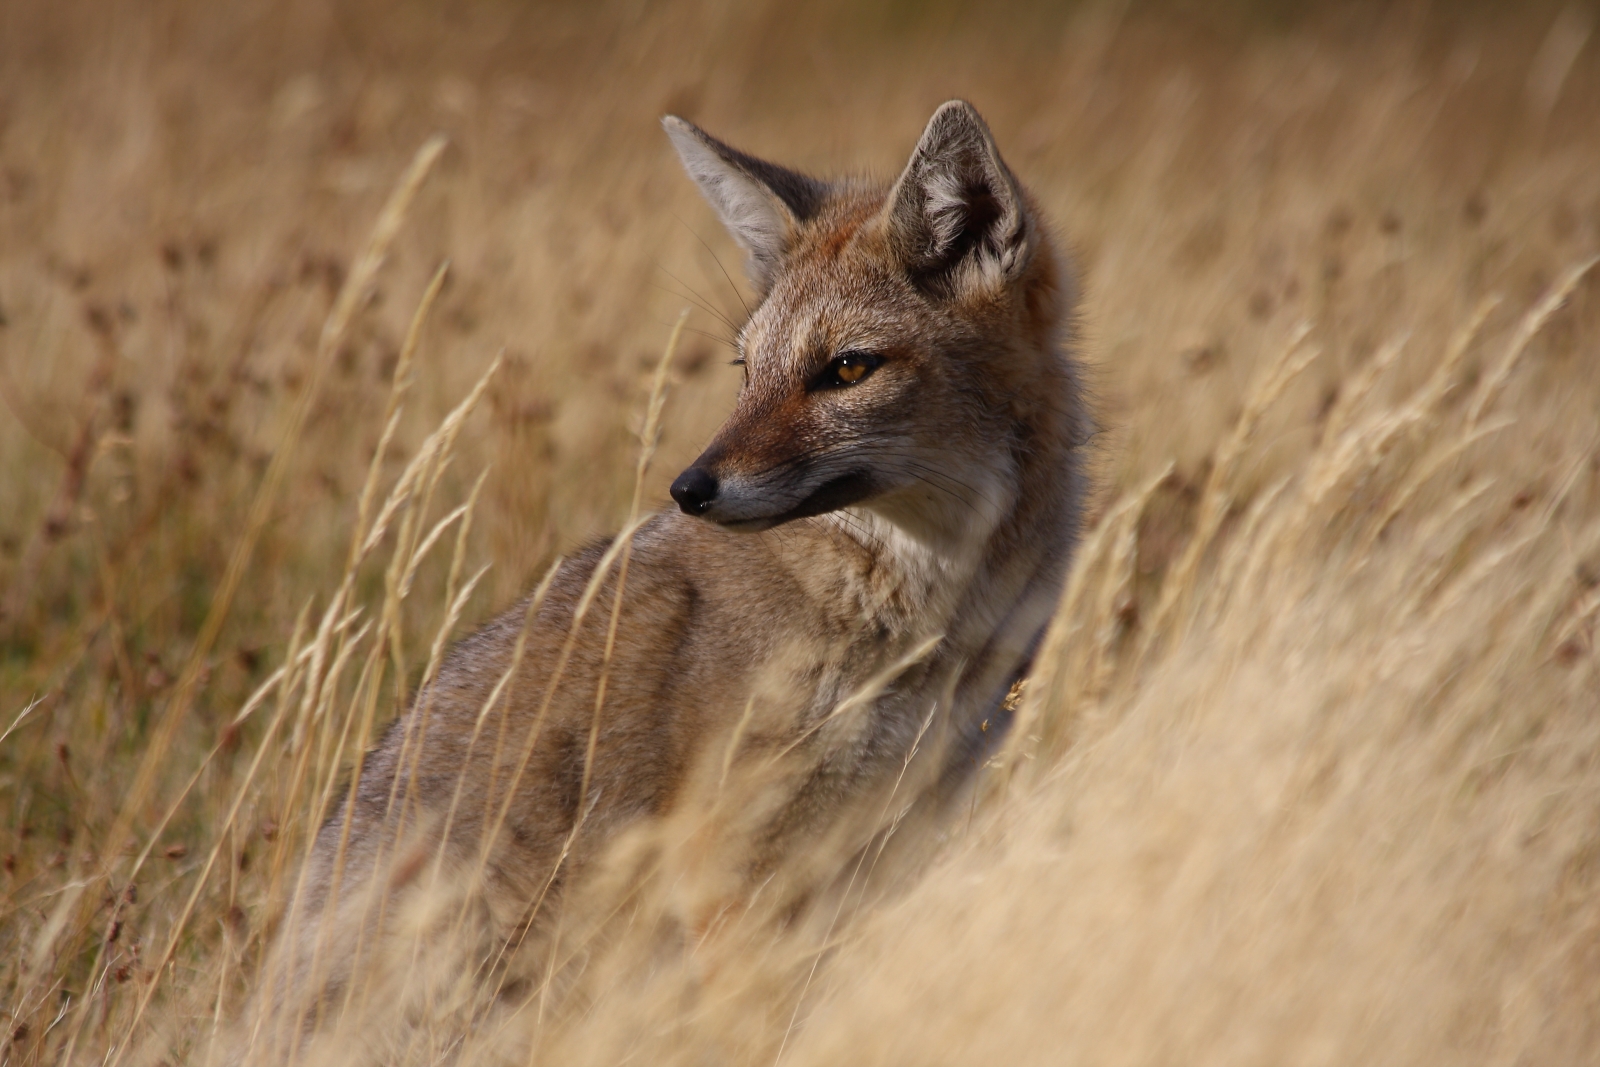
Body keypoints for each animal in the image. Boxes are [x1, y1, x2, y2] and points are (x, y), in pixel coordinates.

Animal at [251, 99, 1089, 1058]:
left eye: (846, 368)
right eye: (746, 370)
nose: (690, 489)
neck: (931, 620)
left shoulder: (898, 835)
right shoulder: (724, 858)